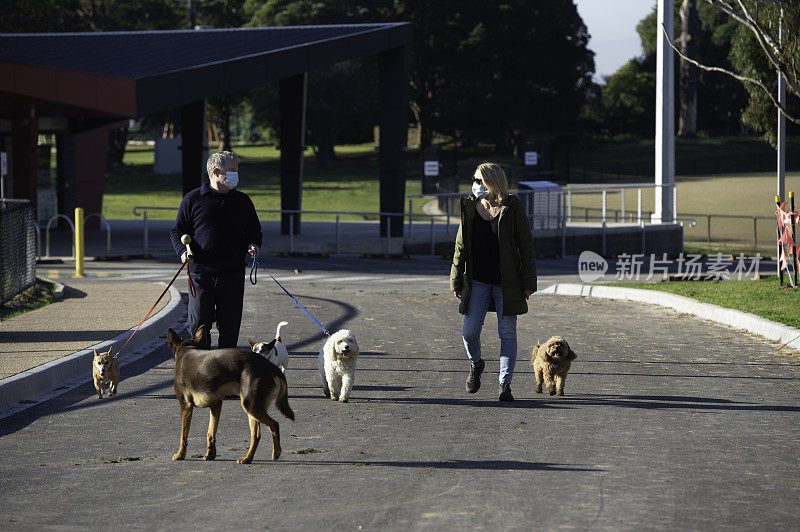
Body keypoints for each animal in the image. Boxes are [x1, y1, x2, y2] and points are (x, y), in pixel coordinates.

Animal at [167, 324, 296, 462]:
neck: (186, 350)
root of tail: (271, 367)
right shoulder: (216, 405)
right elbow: (211, 433)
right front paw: (210, 454)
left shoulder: (185, 405)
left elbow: (183, 435)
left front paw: (180, 454)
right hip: (253, 409)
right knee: (256, 435)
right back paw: (247, 458)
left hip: (250, 405)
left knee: (274, 425)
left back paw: (276, 453)